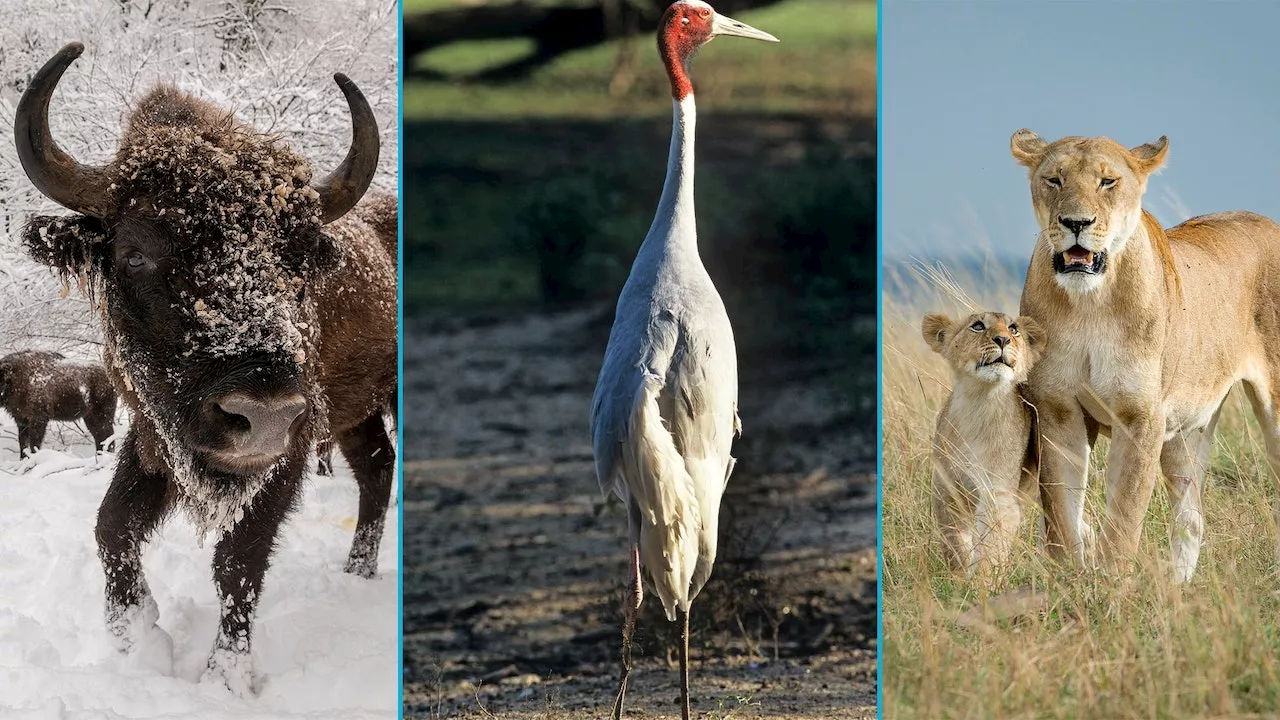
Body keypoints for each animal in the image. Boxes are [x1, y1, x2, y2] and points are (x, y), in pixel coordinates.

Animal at [13, 41, 394, 691]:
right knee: (376, 468)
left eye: (297, 257)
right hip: (355, 413)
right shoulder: (152, 430)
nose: (261, 412)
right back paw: (357, 573)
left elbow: (238, 560)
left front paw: (226, 679)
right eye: (135, 254)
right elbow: (112, 524)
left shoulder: (287, 450)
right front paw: (133, 638)